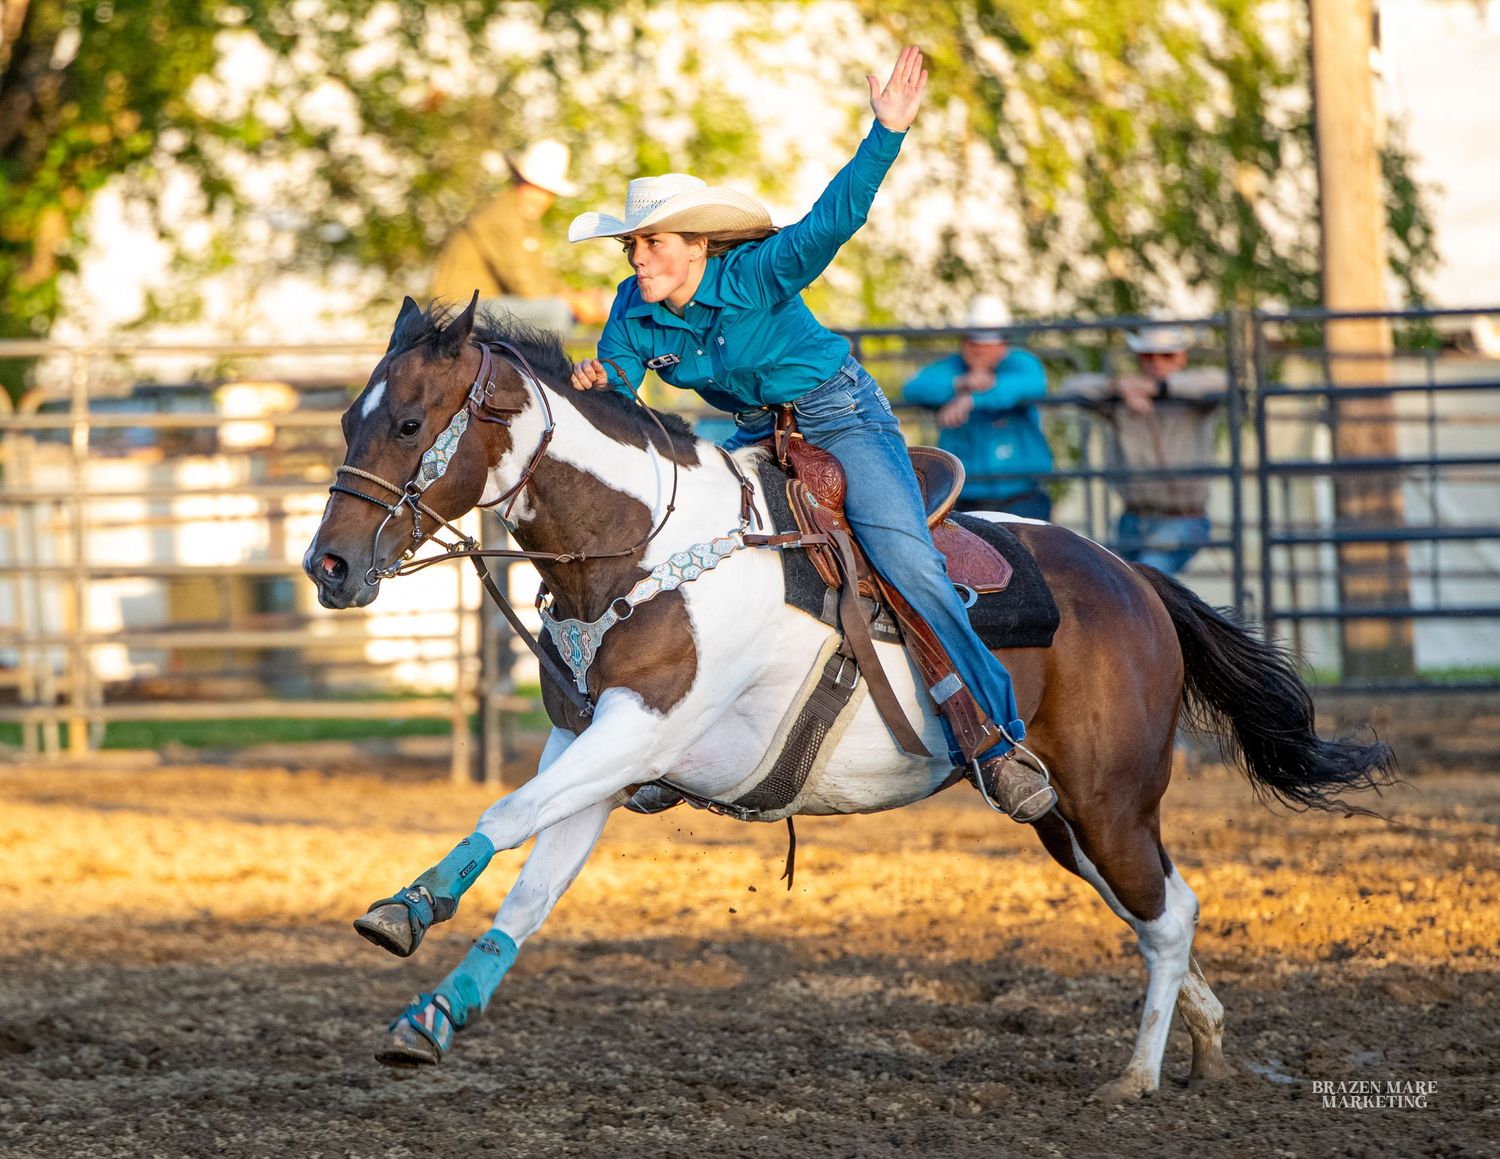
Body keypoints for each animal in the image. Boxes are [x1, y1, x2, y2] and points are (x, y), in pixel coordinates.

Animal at [303, 297, 1393, 1099]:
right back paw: (1204, 1043)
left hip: (1109, 795)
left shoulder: (636, 732)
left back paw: (1136, 1077)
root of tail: (1133, 578)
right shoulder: (591, 753)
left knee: (1164, 913)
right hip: (1062, 813)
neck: (649, 547)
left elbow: (502, 812)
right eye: (350, 418)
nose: (329, 565)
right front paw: (429, 1016)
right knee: (1164, 903)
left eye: (409, 421)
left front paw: (401, 910)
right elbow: (532, 886)